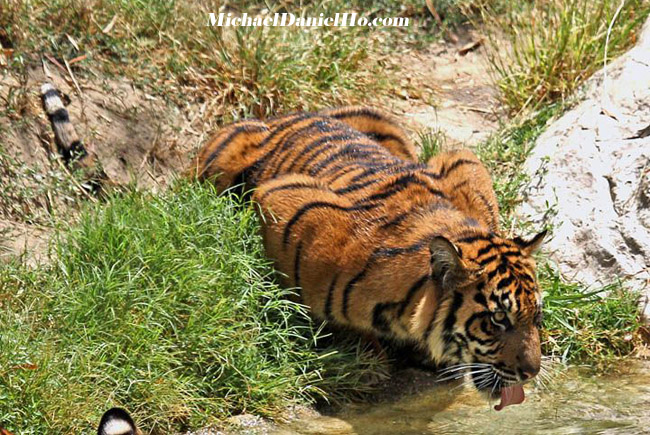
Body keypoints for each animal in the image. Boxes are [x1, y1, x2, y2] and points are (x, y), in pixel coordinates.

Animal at [190, 106, 544, 408]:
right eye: (497, 320)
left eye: (536, 316)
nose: (532, 372)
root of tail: (284, 116)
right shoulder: (286, 199)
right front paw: (368, 354)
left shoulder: (465, 163)